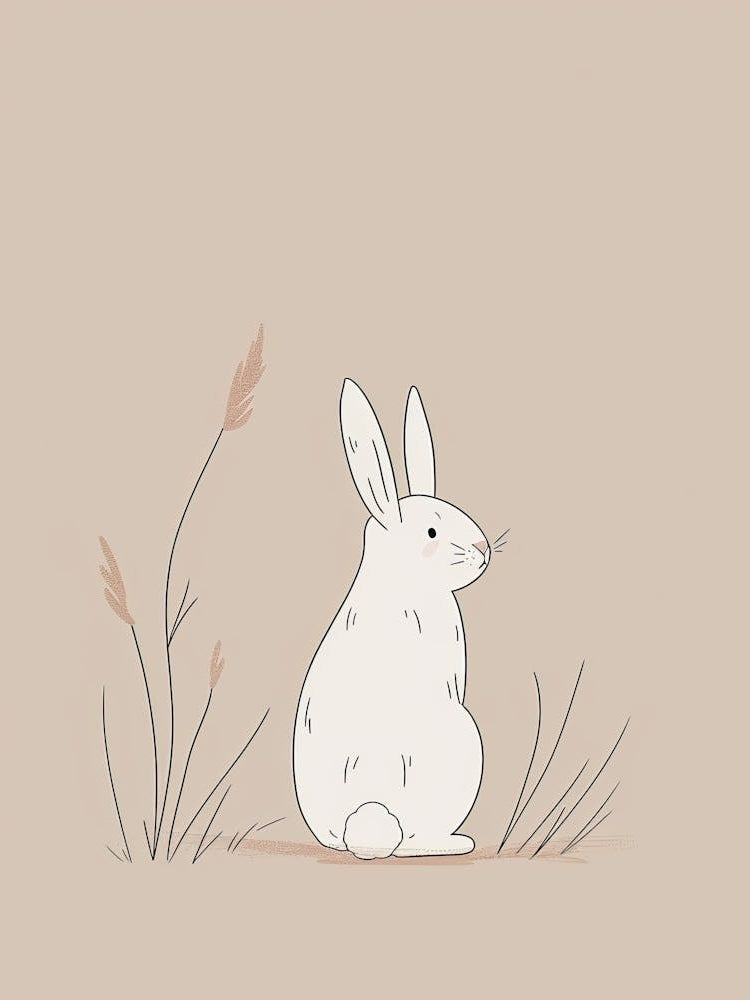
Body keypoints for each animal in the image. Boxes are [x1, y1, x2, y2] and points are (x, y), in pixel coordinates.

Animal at [293, 378, 492, 859]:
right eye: (432, 532)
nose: (483, 549)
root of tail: (369, 819)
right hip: (465, 739)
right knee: (413, 843)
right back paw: (457, 842)